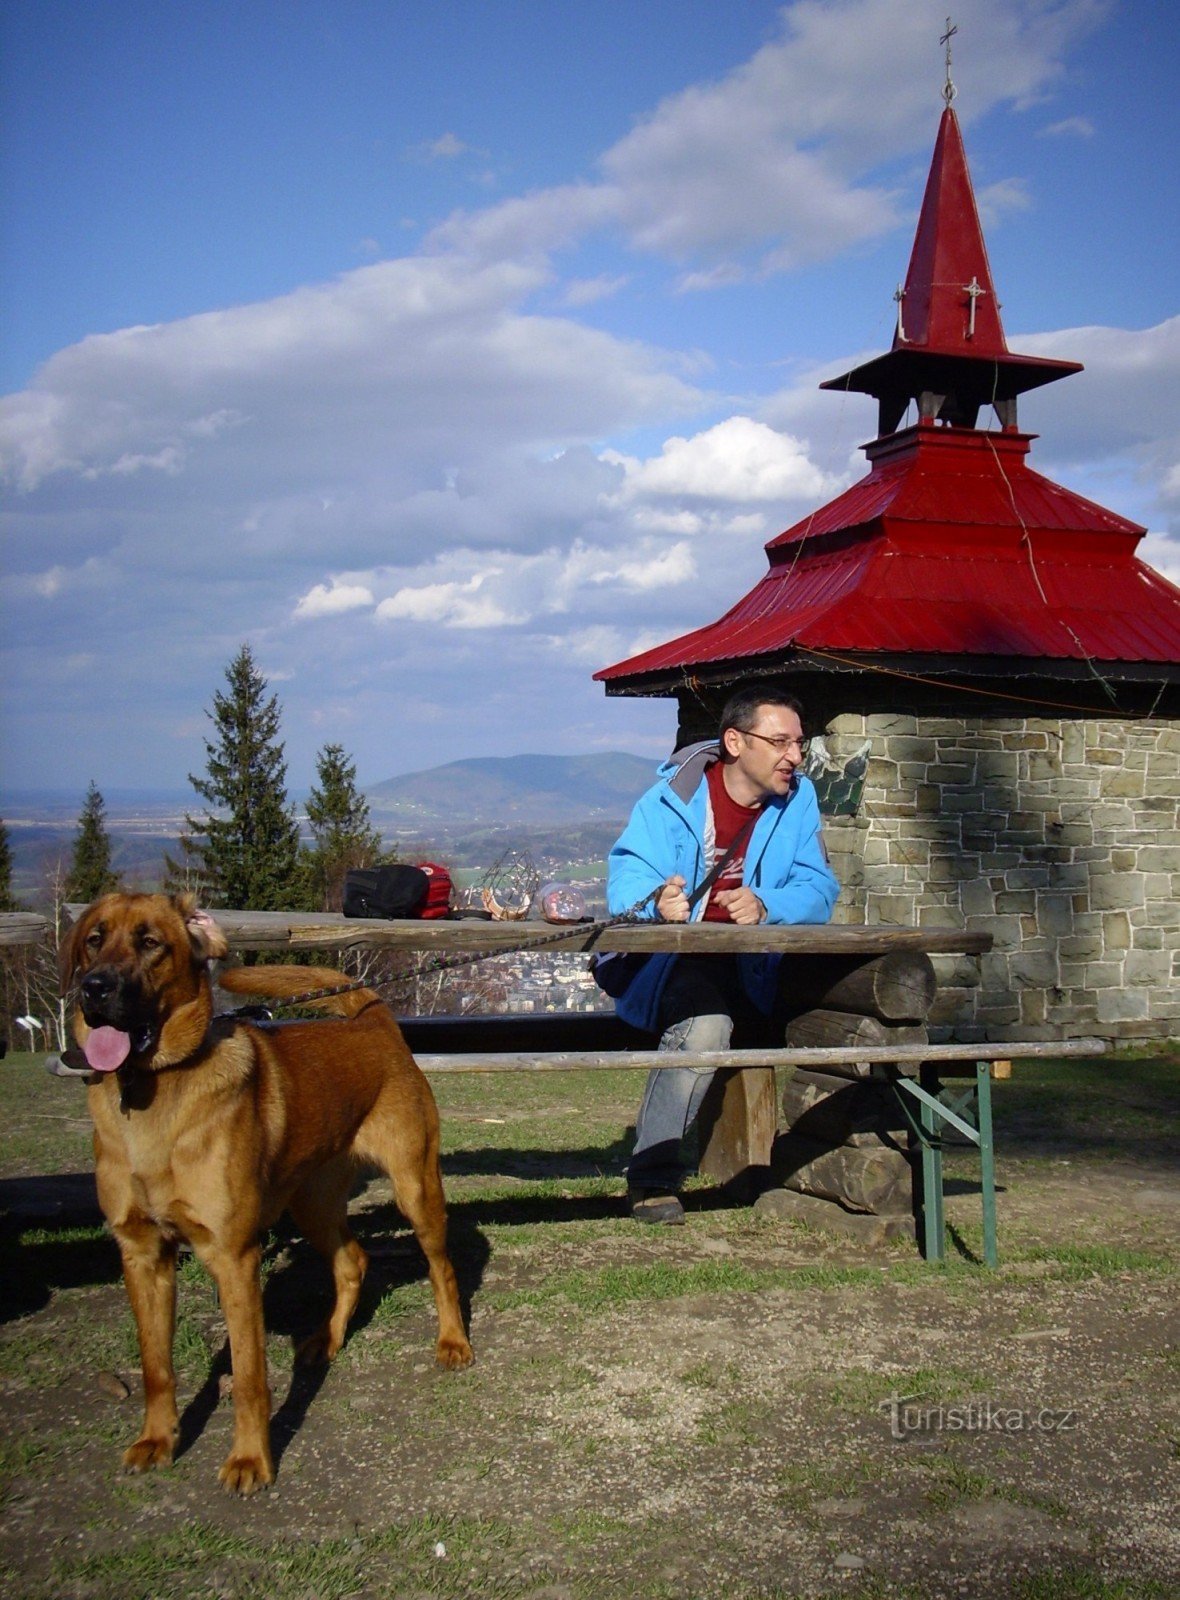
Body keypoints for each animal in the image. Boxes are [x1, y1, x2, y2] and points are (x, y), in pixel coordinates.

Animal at [60, 896, 473, 1491]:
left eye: (150, 942)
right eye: (94, 939)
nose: (94, 989)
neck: (154, 1095)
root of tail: (374, 1024)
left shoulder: (233, 1257)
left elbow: (250, 1376)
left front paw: (251, 1459)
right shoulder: (142, 1255)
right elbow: (157, 1367)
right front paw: (158, 1440)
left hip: (416, 1189)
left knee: (441, 1268)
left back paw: (453, 1342)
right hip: (312, 1205)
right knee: (352, 1262)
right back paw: (325, 1340)